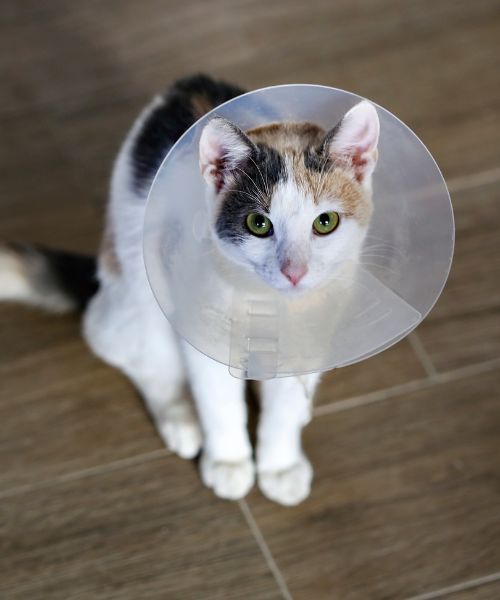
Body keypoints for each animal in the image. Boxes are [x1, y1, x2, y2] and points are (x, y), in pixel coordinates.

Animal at [0, 75, 378, 506]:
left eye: (325, 222)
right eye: (259, 224)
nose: (294, 271)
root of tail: (187, 83)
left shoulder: (310, 334)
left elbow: (283, 406)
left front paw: (279, 464)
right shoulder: (201, 334)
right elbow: (218, 399)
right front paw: (229, 461)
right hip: (138, 288)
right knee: (131, 350)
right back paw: (180, 418)